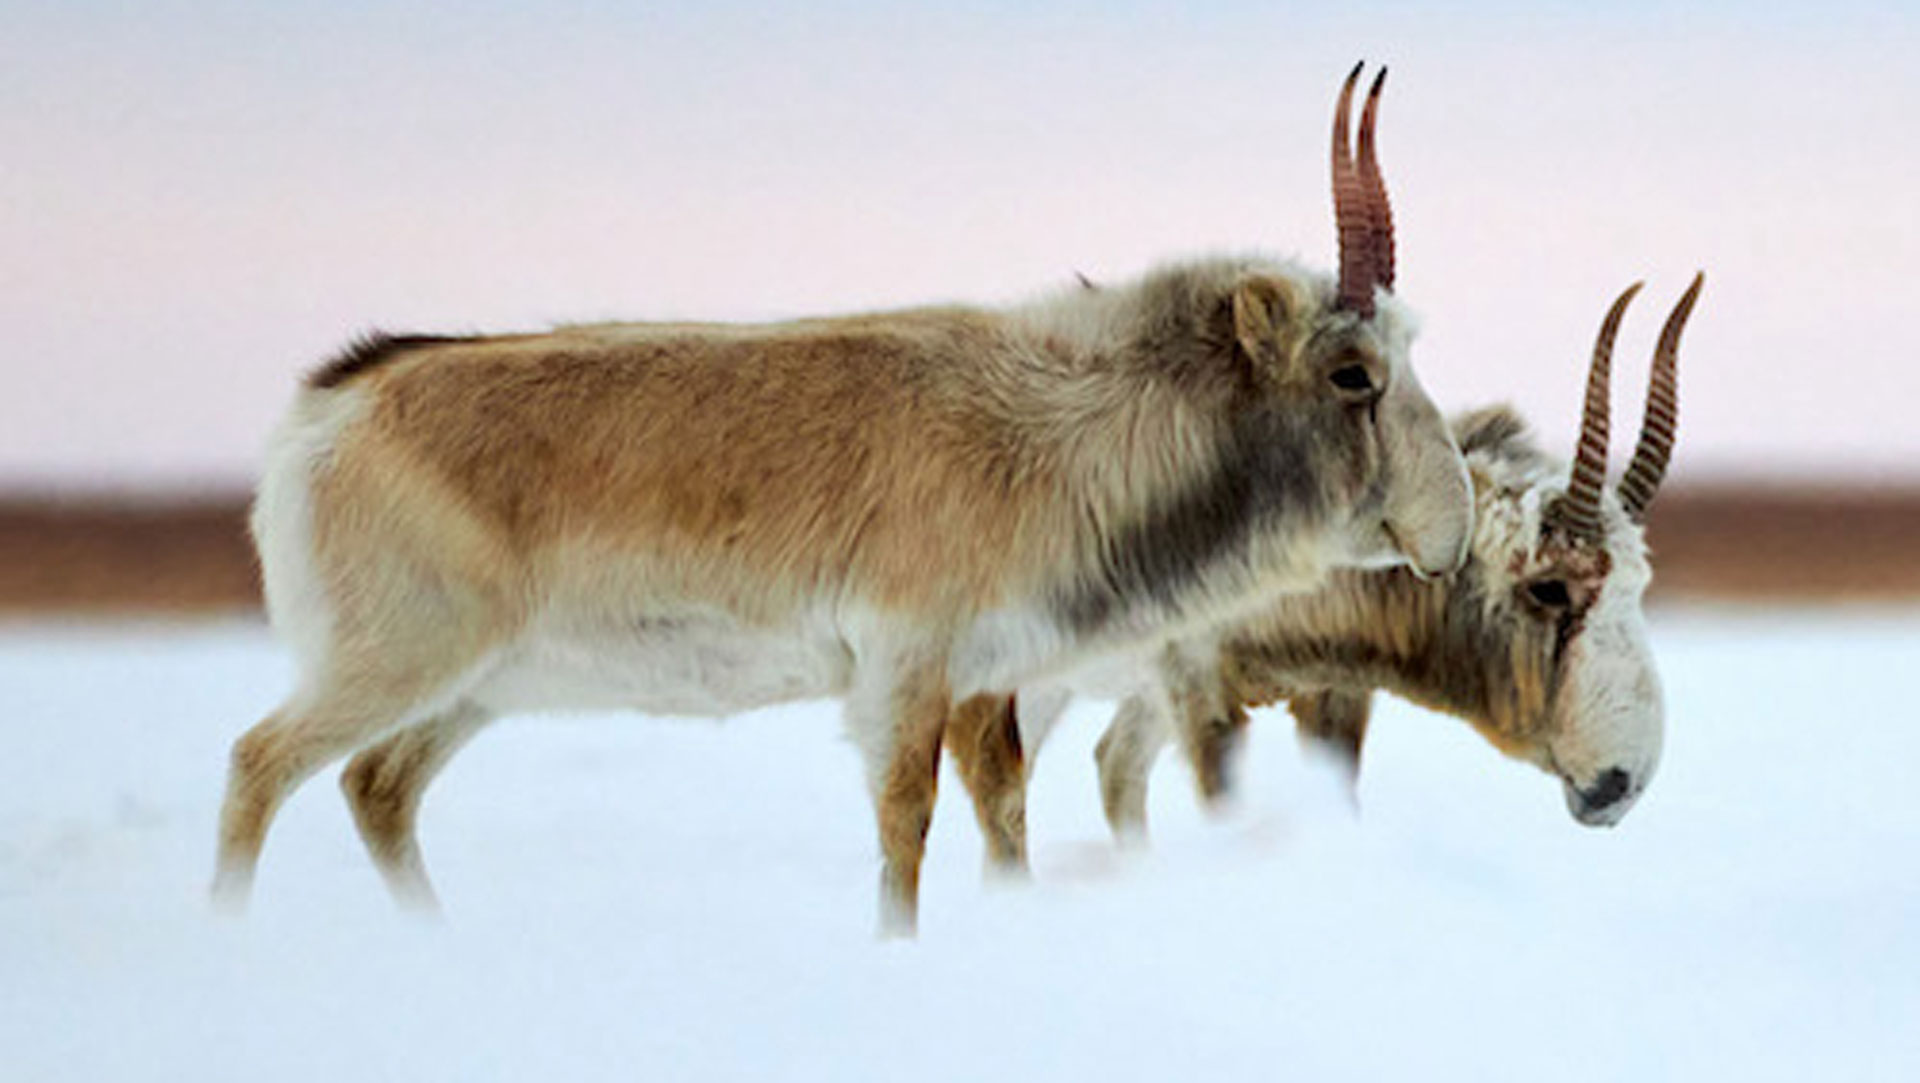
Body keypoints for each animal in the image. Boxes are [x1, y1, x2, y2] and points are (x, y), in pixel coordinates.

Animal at [213, 64, 1472, 934]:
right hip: (399, 659)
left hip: (475, 686)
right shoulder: (906, 666)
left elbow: (1003, 808)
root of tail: (333, 408)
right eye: (1353, 372)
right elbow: (906, 823)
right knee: (260, 763)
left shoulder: (986, 680)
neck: (1056, 424)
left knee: (376, 786)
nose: (1452, 528)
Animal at [947, 275, 1700, 864]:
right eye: (1549, 587)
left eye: (1637, 587)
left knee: (1110, 766)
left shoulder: (1332, 693)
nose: (1620, 782)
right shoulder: (1197, 686)